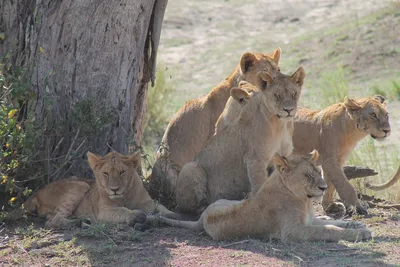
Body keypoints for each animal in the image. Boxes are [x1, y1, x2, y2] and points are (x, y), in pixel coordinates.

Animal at [22, 152, 177, 229]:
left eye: (122, 172)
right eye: (106, 173)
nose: (115, 190)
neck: (125, 195)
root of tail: (36, 194)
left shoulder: (147, 203)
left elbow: (160, 206)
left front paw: (171, 214)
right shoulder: (104, 210)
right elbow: (122, 211)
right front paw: (135, 216)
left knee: (51, 219)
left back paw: (82, 221)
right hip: (80, 185)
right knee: (53, 222)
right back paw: (79, 223)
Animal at [158, 152, 370, 244]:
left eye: (319, 172)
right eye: (308, 176)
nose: (324, 187)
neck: (305, 201)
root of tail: (202, 219)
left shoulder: (308, 221)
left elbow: (335, 224)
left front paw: (358, 226)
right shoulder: (293, 232)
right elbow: (329, 230)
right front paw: (358, 234)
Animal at [174, 66, 304, 214]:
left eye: (294, 94)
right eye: (277, 95)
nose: (289, 110)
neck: (281, 125)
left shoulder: (281, 158)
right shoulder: (255, 159)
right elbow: (259, 185)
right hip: (191, 167)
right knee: (190, 208)